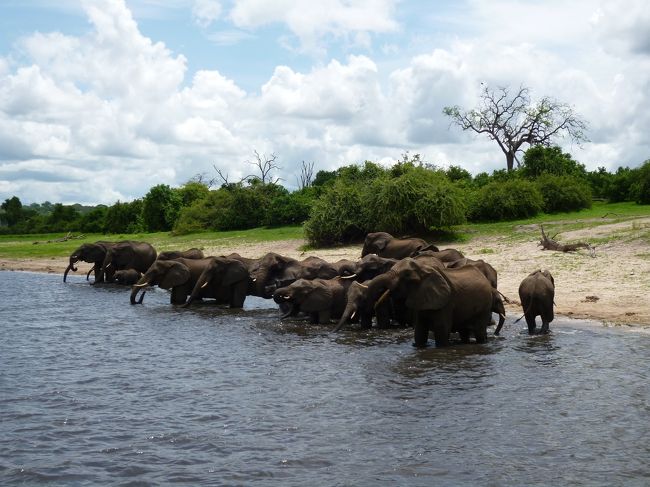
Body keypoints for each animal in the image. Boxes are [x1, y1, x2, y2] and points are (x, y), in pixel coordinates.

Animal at [364, 260, 492, 346]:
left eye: (406, 276)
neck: (424, 269)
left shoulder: (446, 302)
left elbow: (441, 329)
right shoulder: (421, 297)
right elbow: (419, 330)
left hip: (485, 306)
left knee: (479, 331)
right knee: (464, 331)